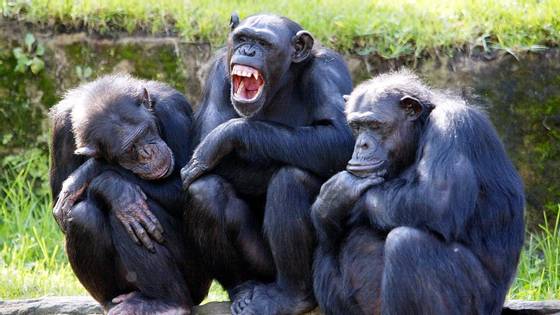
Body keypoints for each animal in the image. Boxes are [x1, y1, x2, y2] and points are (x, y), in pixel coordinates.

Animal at [48, 74, 209, 315]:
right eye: (129, 149)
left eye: (145, 132)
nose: (147, 153)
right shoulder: (60, 129)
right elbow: (60, 204)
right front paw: (118, 191)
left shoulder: (175, 112)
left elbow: (187, 183)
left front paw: (93, 173)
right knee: (83, 215)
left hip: (197, 277)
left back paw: (168, 303)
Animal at [179, 12, 352, 315]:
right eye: (242, 38)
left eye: (263, 43)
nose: (248, 51)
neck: (280, 86)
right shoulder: (217, 73)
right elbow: (202, 141)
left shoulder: (329, 71)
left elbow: (342, 137)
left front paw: (227, 136)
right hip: (259, 265)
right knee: (205, 190)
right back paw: (242, 289)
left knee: (292, 178)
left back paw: (291, 296)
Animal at [310, 69, 524, 315]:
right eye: (356, 127)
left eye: (374, 125)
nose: (362, 144)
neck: (419, 132)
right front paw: (325, 207)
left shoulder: (452, 124)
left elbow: (437, 199)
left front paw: (338, 194)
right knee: (326, 248)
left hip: (479, 303)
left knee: (407, 244)